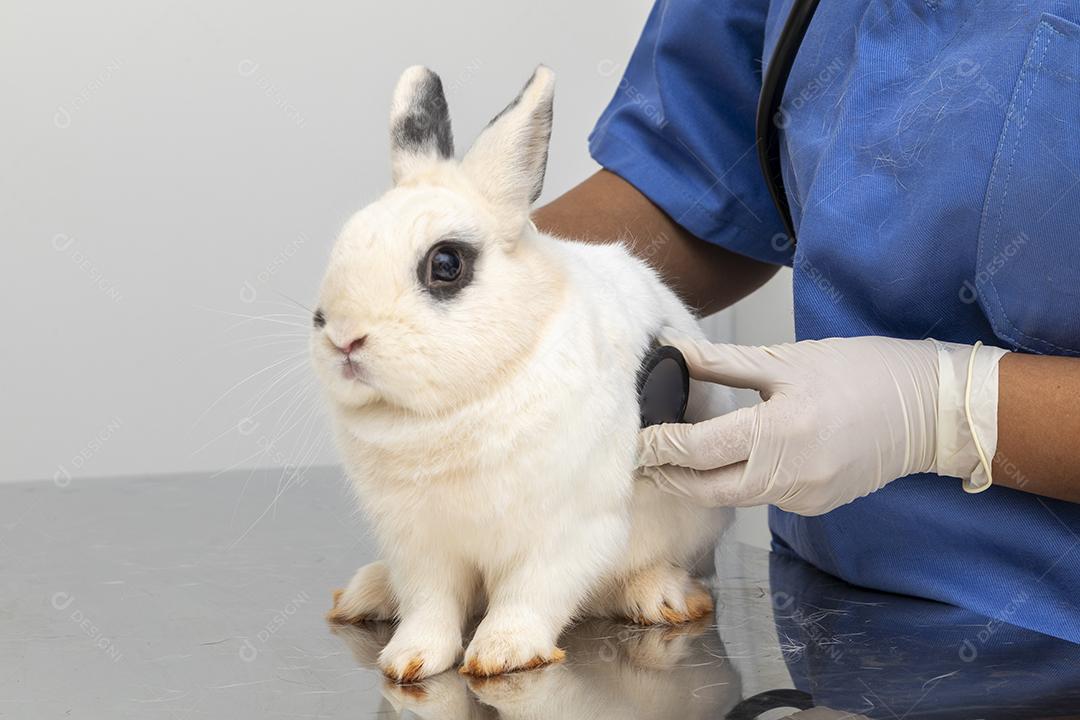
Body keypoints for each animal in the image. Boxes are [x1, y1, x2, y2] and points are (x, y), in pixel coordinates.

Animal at [312, 64, 735, 683]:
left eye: (446, 263)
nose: (343, 336)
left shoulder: (567, 530)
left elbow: (530, 594)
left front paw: (502, 654)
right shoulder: (421, 546)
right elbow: (430, 606)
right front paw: (408, 661)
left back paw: (663, 598)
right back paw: (366, 595)